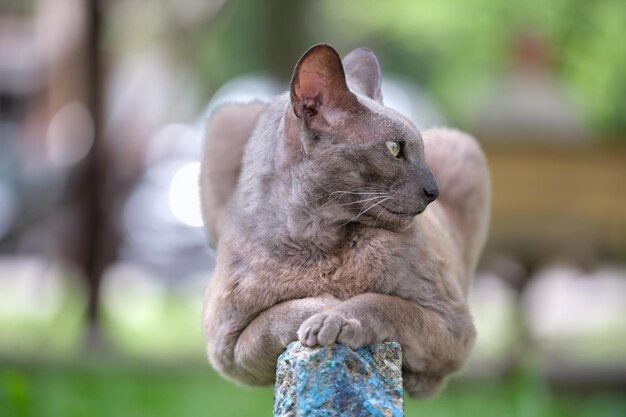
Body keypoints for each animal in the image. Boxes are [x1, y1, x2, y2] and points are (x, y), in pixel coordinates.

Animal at [200, 43, 488, 396]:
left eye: (420, 151)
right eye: (394, 148)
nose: (434, 190)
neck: (318, 240)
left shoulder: (453, 324)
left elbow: (381, 303)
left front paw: (333, 319)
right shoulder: (228, 348)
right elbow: (274, 317)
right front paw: (322, 309)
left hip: (467, 151)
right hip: (225, 121)